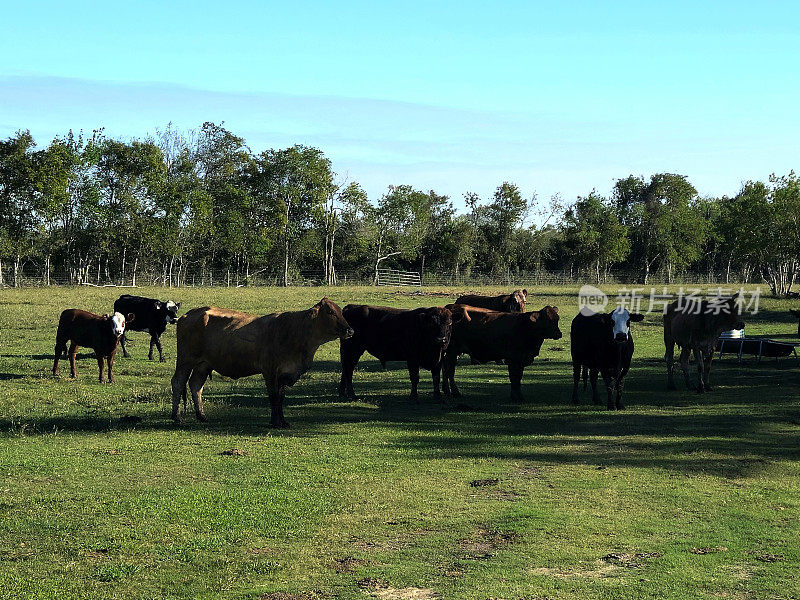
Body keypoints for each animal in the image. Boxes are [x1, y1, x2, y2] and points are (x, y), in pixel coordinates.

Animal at [170, 296, 352, 426]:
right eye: (330, 312)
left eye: (341, 311)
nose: (350, 330)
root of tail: (189, 314)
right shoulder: (270, 371)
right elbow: (273, 396)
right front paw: (275, 422)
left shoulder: (284, 374)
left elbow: (281, 397)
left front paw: (282, 421)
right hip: (186, 359)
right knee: (178, 382)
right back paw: (177, 417)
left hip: (204, 364)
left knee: (196, 385)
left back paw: (201, 415)